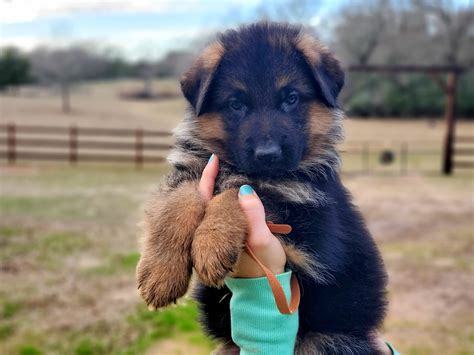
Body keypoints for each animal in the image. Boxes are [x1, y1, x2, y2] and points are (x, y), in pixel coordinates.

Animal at [137, 23, 388, 355]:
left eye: (291, 98)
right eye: (236, 104)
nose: (268, 155)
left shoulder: (308, 233)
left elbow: (242, 189)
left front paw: (211, 243)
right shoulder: (193, 170)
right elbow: (178, 203)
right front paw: (160, 272)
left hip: (327, 340)